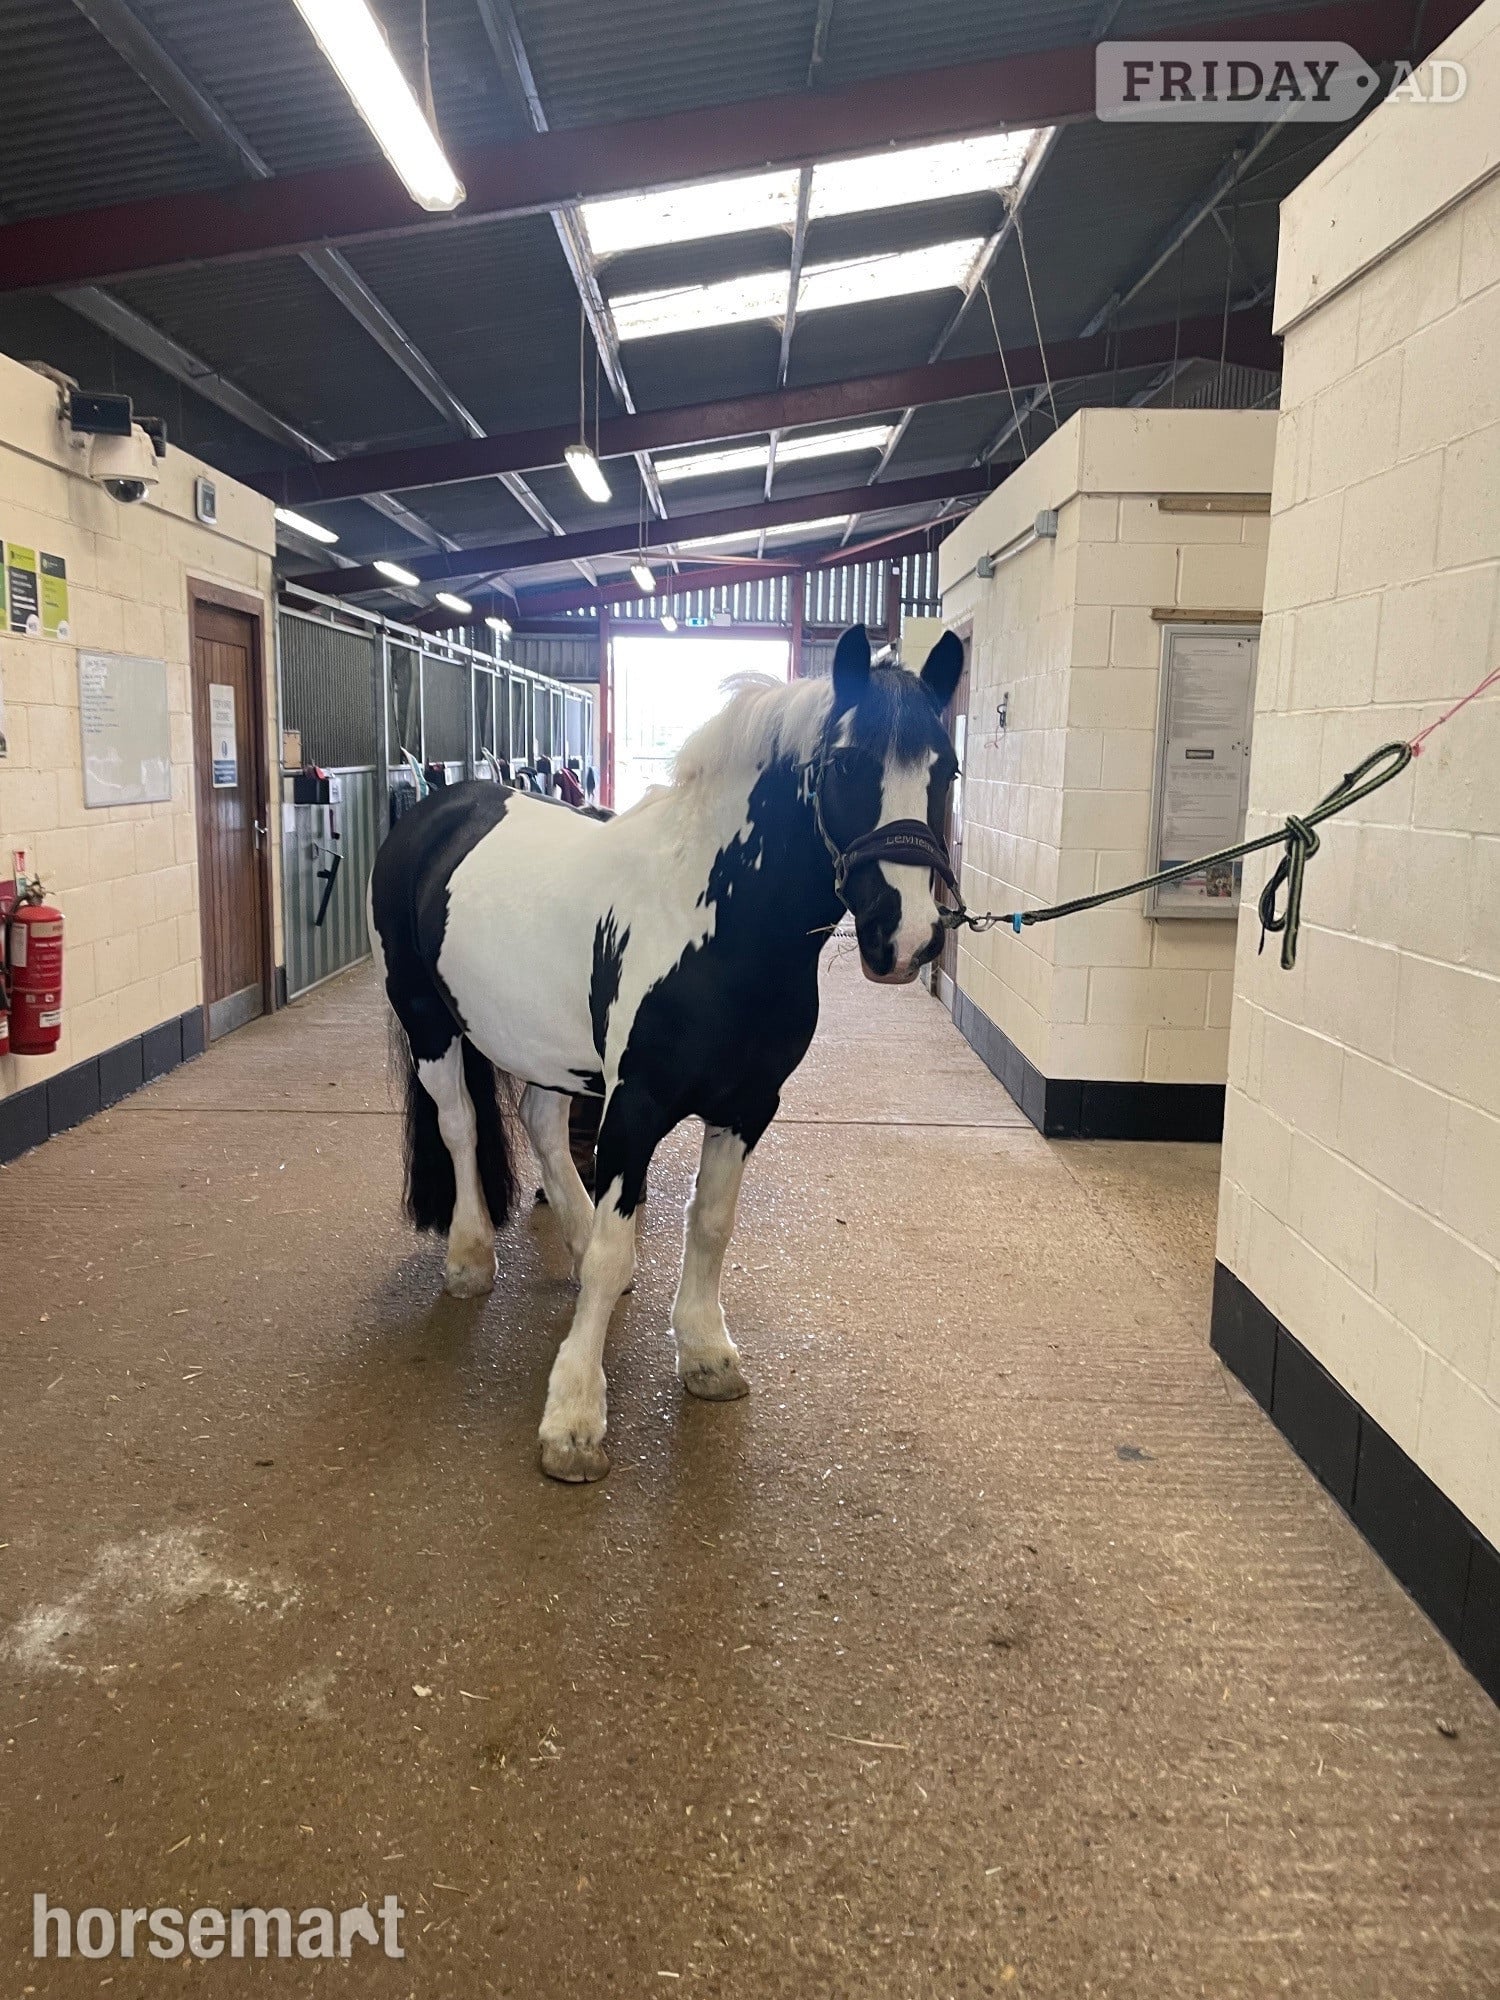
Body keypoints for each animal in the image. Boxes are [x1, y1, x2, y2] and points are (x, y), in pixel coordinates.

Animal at [368, 623, 964, 1481]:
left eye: (946, 769)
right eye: (849, 763)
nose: (907, 936)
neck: (716, 922)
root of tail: (439, 807)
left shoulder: (748, 1105)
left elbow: (709, 1224)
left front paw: (707, 1355)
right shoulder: (637, 1103)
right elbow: (621, 1244)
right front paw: (574, 1418)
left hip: (549, 1046)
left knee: (539, 1121)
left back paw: (573, 1239)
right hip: (428, 1021)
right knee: (461, 1126)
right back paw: (471, 1258)